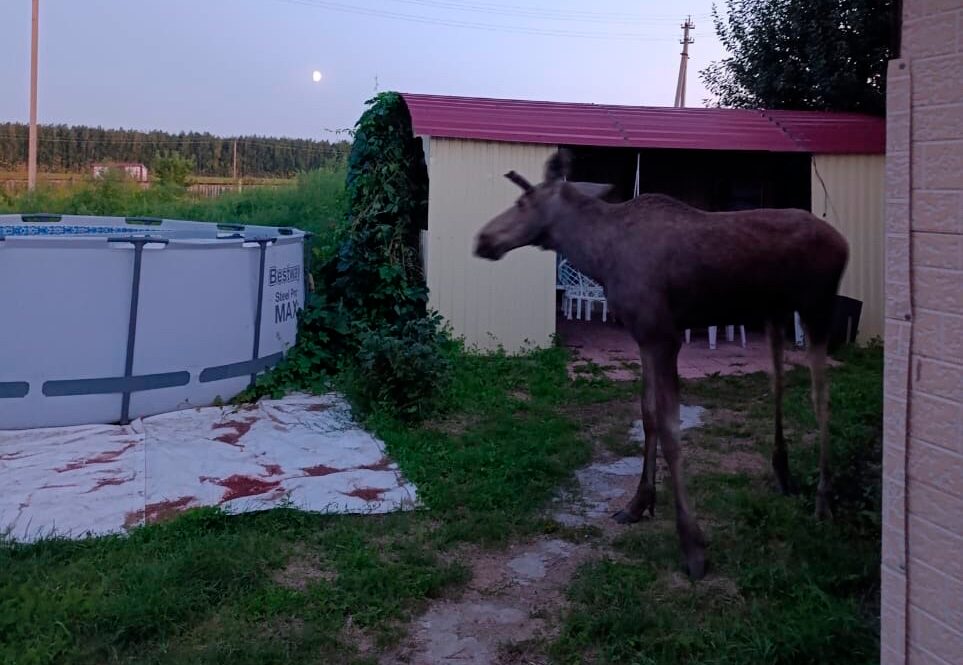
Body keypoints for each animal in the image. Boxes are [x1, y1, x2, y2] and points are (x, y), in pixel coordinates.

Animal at [476, 150, 852, 576]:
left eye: (523, 201)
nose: (483, 239)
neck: (600, 255)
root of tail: (844, 243)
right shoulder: (643, 336)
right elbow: (648, 415)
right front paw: (639, 502)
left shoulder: (663, 337)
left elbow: (672, 431)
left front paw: (692, 543)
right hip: (775, 312)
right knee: (779, 383)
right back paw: (784, 473)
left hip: (817, 308)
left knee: (822, 397)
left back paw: (824, 498)